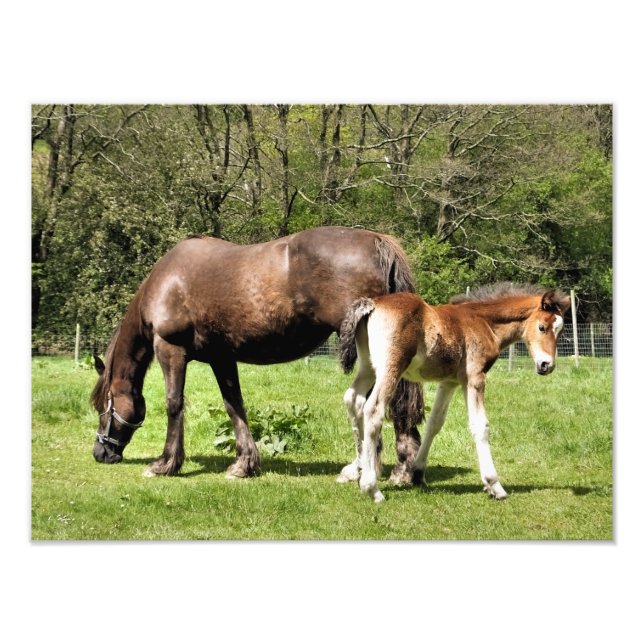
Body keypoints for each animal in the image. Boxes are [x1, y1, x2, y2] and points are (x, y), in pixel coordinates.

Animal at [91, 226, 425, 482]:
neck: (166, 282)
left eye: (103, 407)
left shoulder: (170, 349)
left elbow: (174, 404)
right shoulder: (222, 358)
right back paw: (405, 467)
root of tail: (377, 241)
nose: (100, 453)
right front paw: (244, 464)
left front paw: (165, 464)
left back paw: (379, 469)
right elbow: (234, 405)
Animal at [338, 283, 571, 502]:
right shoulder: (474, 377)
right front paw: (494, 485)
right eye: (542, 327)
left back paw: (359, 470)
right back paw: (371, 488)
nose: (546, 365)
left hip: (368, 367)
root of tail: (373, 304)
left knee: (353, 400)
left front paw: (417, 473)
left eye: (559, 331)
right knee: (373, 410)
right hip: (391, 368)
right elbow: (480, 425)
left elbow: (434, 423)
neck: (484, 322)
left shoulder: (448, 382)